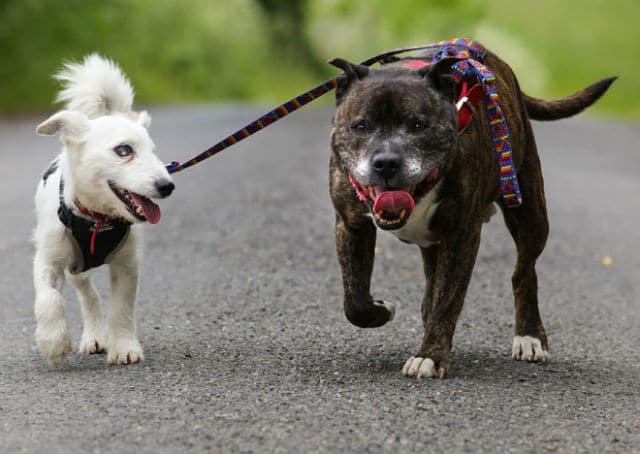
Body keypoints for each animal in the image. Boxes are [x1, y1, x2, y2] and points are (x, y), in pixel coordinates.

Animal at [33, 54, 174, 366]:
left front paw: (123, 348)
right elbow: (48, 298)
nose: (167, 185)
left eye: (154, 151)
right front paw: (53, 342)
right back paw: (93, 336)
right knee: (89, 296)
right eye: (124, 150)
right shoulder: (48, 258)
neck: (98, 219)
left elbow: (121, 309)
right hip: (77, 267)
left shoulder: (127, 265)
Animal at [330, 47, 616, 380]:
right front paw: (382, 309)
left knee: (523, 273)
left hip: (529, 213)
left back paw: (529, 337)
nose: (387, 162)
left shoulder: (462, 234)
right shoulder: (351, 225)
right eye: (360, 126)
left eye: (419, 125)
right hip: (434, 240)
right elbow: (354, 299)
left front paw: (430, 356)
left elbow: (448, 299)